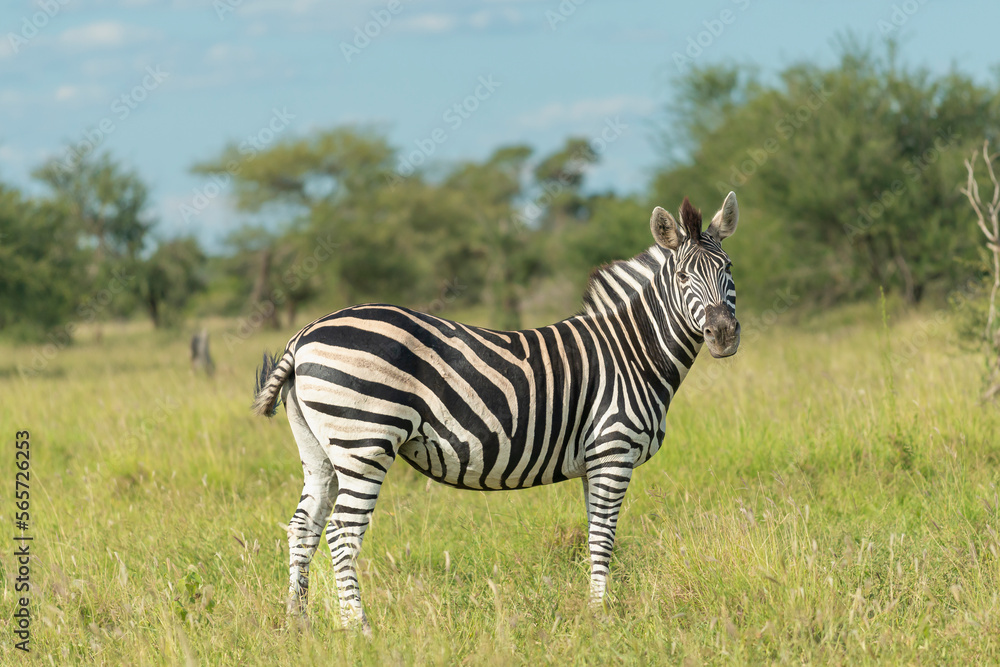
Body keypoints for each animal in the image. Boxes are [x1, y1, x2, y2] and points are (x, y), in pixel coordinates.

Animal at [252, 192, 740, 634]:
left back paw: (298, 624)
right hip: (364, 442)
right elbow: (603, 539)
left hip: (321, 450)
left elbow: (594, 536)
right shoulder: (613, 451)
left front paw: (593, 611)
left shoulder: (594, 462)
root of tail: (302, 335)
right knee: (342, 531)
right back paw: (359, 628)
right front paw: (601, 618)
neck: (632, 352)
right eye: (683, 275)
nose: (723, 335)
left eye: (729, 269)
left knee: (304, 527)